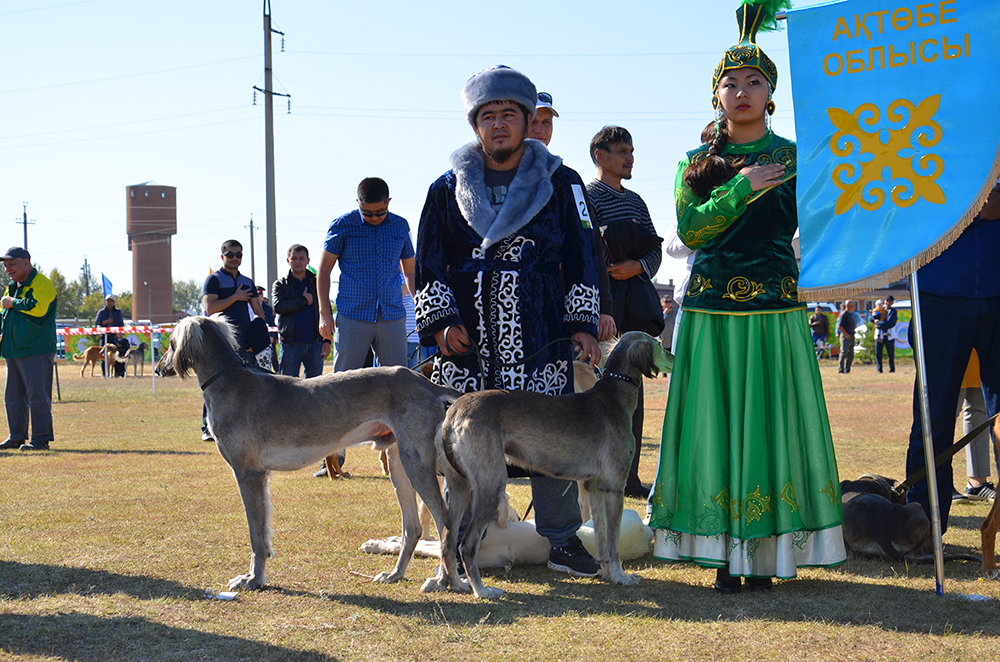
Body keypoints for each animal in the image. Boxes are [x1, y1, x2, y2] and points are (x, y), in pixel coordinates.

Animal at [158, 316, 462, 592]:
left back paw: (444, 580)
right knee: (413, 528)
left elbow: (256, 536)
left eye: (170, 343)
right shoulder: (260, 477)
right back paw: (395, 574)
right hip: (399, 464)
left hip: (416, 463)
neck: (230, 381)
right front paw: (257, 575)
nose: (160, 369)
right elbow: (263, 534)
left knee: (446, 522)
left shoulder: (248, 473)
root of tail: (423, 381)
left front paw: (252, 579)